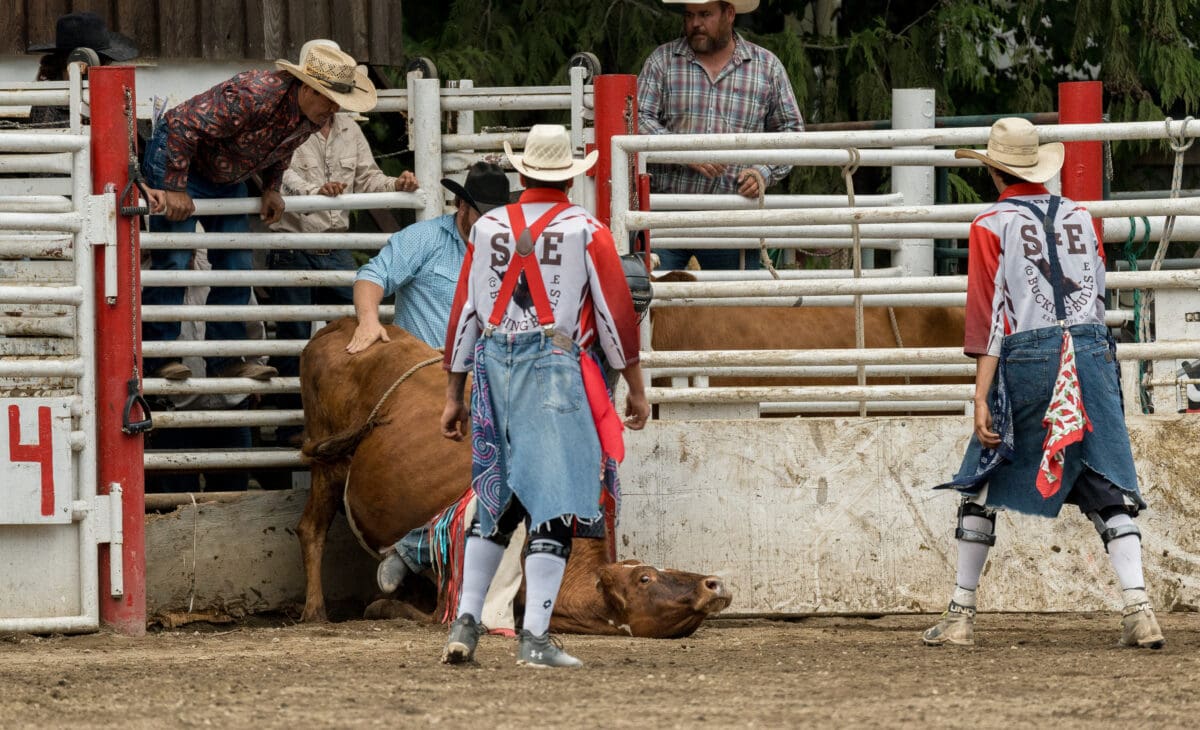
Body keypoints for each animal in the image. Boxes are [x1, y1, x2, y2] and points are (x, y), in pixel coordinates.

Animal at [297, 316, 729, 633]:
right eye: (645, 578)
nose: (714, 583)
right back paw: (315, 610)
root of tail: (342, 324)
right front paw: (382, 604)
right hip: (327, 465)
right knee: (311, 529)